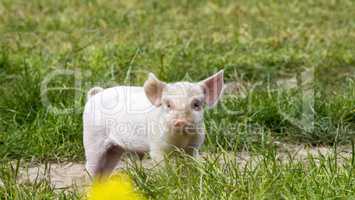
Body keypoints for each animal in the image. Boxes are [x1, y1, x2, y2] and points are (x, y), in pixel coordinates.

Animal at [84, 70, 224, 177]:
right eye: (168, 104)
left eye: (196, 104)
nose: (181, 121)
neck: (180, 139)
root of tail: (94, 95)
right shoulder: (157, 147)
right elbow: (162, 166)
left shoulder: (194, 147)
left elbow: (191, 164)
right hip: (92, 138)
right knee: (90, 166)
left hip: (115, 149)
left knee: (105, 170)